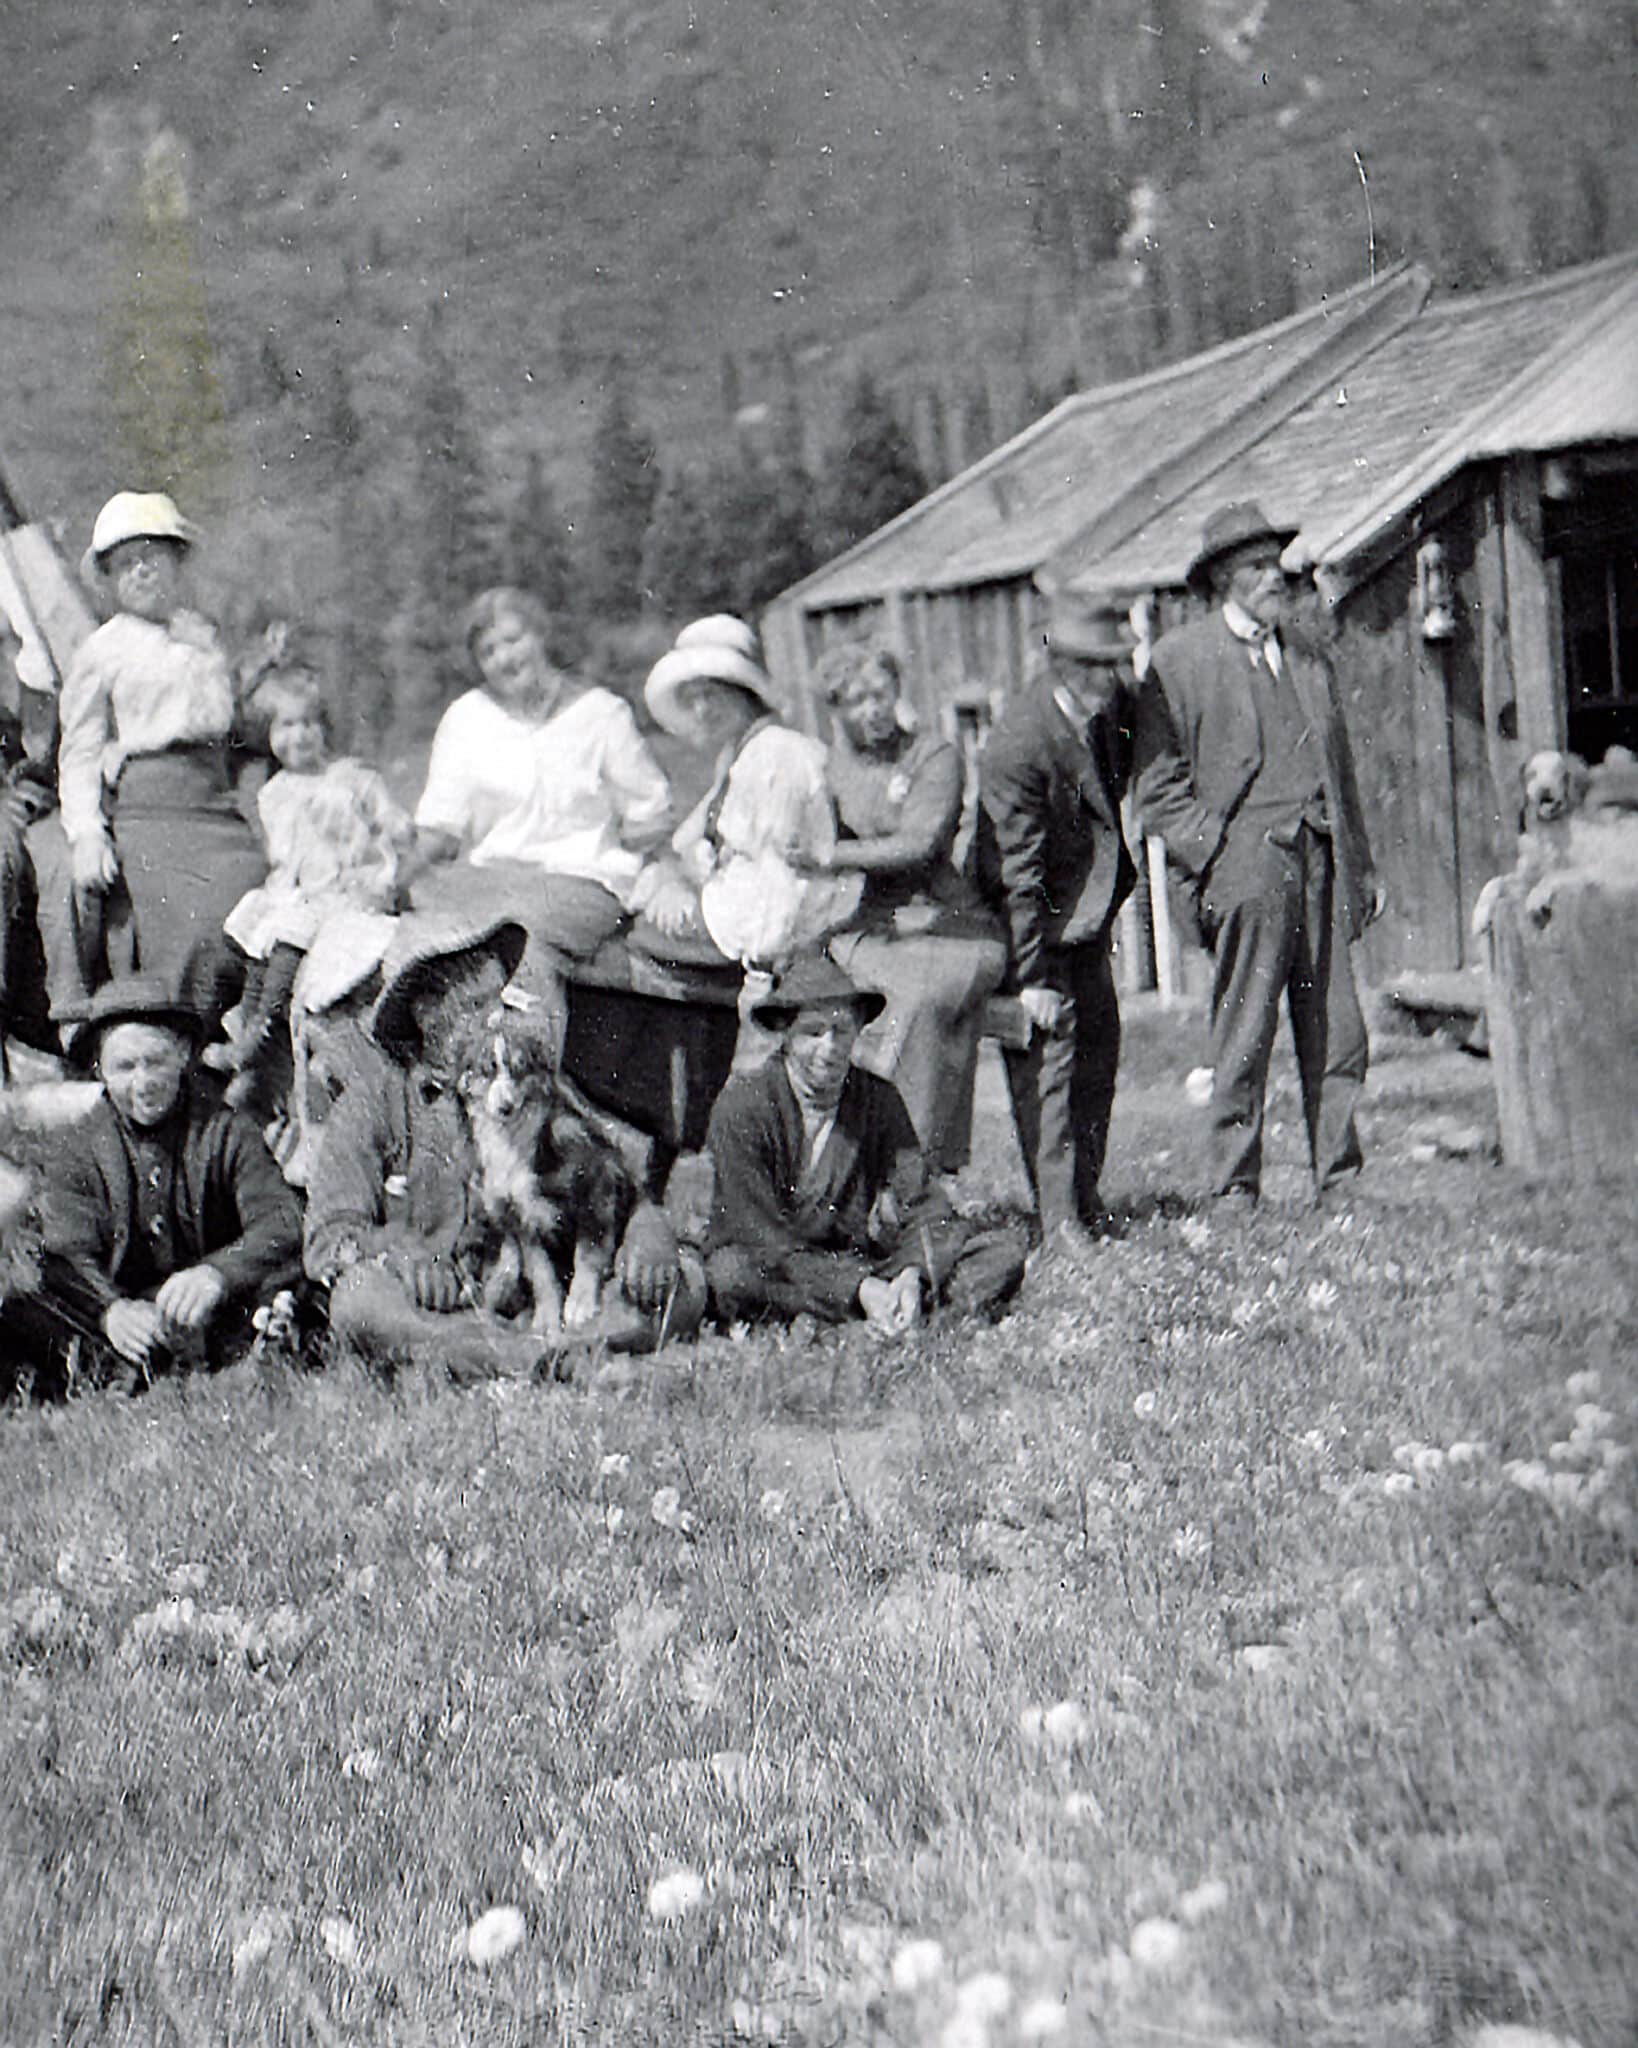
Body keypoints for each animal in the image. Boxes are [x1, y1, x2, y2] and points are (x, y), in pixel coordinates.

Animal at [450, 1011, 634, 1335]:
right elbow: (540, 1272)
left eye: (520, 1069)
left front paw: (579, 1306)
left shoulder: (597, 1185)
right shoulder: (520, 1218)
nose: (506, 1107)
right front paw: (547, 1317)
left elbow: (588, 1253)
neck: (513, 1139)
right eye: (486, 1071)